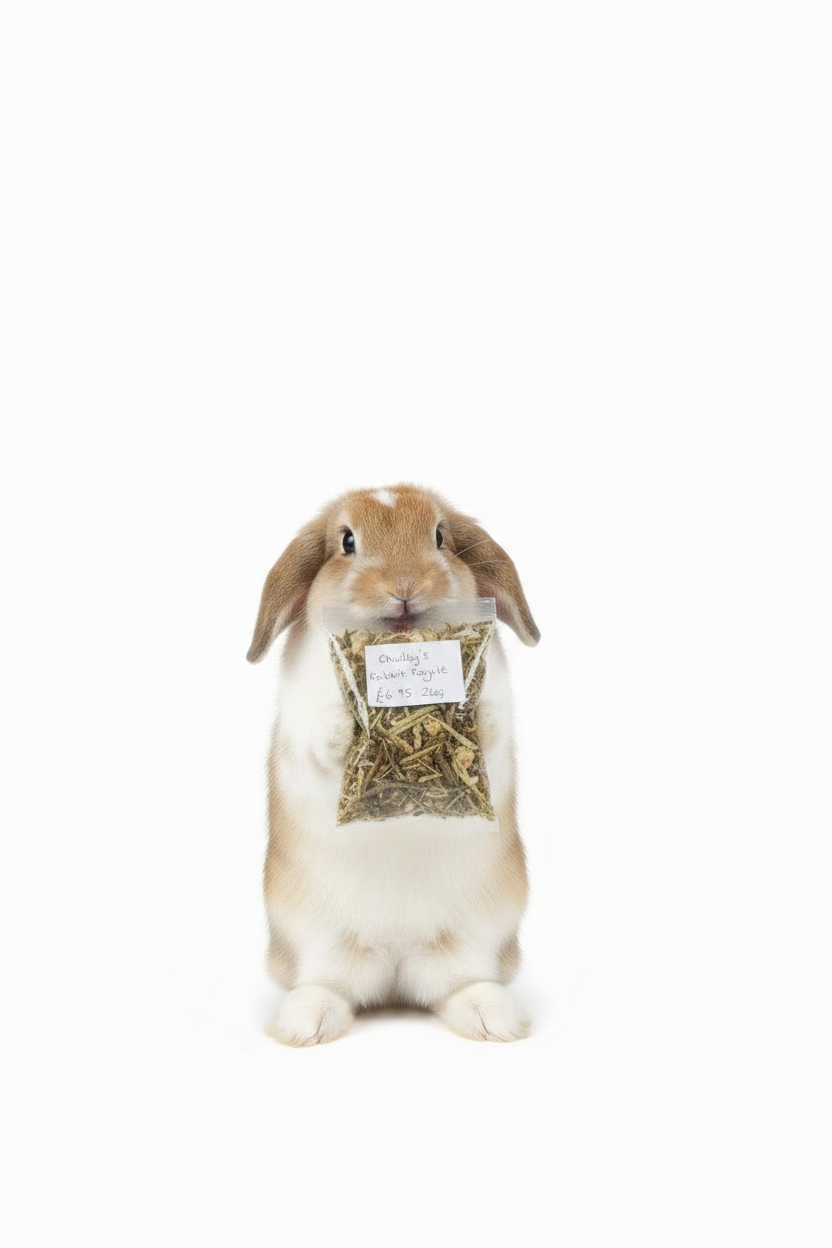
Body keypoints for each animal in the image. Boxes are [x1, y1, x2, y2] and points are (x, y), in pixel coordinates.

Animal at [247, 483, 540, 1044]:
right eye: (347, 541)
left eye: (440, 537)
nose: (405, 586)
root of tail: (396, 965)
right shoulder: (302, 730)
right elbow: (319, 741)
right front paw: (347, 729)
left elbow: (493, 729)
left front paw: (474, 717)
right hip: (315, 936)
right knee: (328, 984)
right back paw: (306, 1024)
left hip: (476, 935)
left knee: (460, 983)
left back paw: (492, 1018)